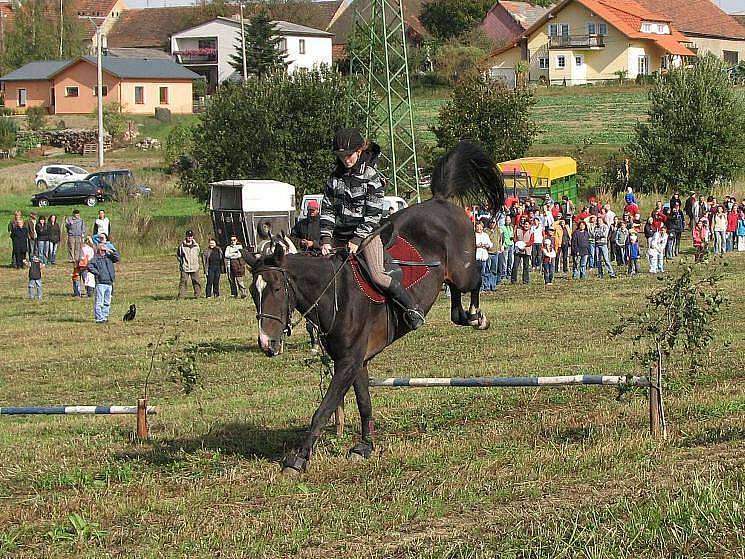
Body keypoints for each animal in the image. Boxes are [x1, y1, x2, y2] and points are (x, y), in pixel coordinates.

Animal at [244, 141, 506, 472]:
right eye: (253, 292)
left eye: (277, 289)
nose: (266, 343)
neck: (335, 296)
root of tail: (440, 201)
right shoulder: (357, 361)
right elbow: (364, 402)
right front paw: (365, 446)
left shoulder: (348, 362)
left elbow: (324, 408)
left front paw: (299, 458)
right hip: (447, 277)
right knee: (455, 306)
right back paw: (463, 316)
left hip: (462, 269)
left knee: (475, 281)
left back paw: (477, 316)